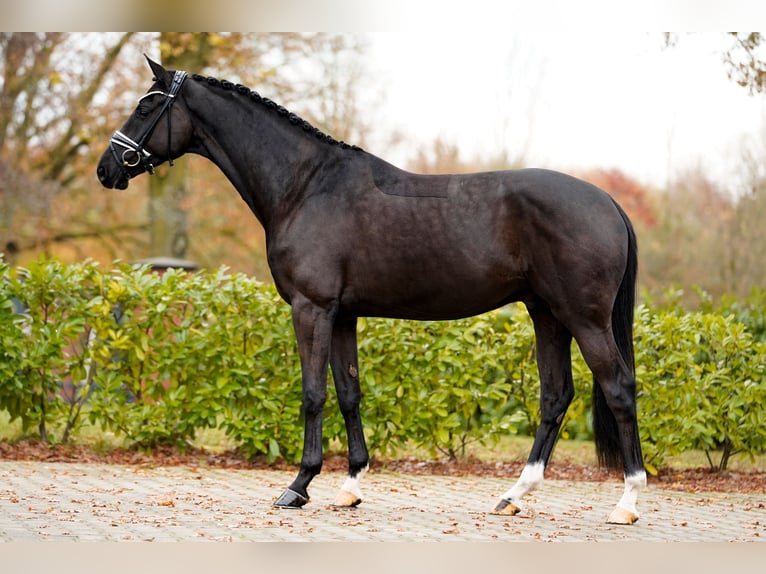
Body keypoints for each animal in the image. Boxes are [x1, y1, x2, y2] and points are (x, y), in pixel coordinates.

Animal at [96, 59, 648, 528]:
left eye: (146, 105)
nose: (108, 168)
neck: (306, 186)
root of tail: (606, 202)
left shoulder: (312, 309)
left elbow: (313, 394)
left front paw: (298, 486)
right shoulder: (343, 315)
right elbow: (349, 393)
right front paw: (350, 486)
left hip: (583, 318)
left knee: (618, 387)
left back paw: (626, 502)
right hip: (546, 315)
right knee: (555, 396)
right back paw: (513, 496)